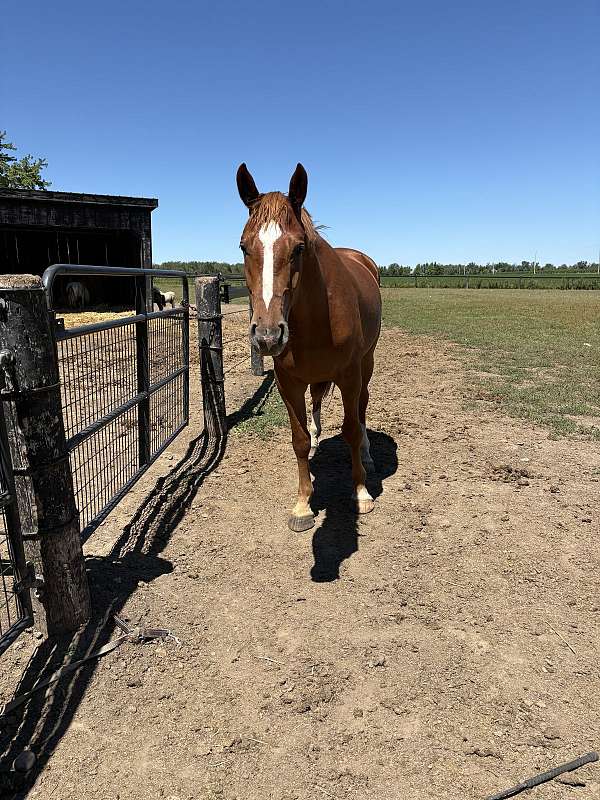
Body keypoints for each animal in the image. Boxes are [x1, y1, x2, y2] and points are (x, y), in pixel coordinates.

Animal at [236, 163, 381, 532]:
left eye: (299, 248)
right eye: (244, 246)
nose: (268, 335)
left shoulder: (349, 375)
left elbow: (350, 430)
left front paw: (361, 493)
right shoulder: (288, 382)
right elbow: (299, 440)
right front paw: (303, 505)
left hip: (366, 364)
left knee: (361, 409)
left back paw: (368, 455)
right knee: (316, 404)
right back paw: (318, 440)